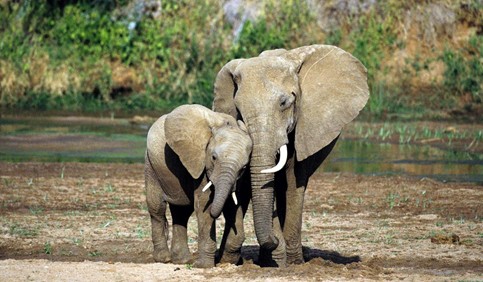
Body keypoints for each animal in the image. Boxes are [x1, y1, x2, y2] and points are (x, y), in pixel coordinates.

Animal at [146, 104, 253, 268]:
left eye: (244, 167)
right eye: (213, 157)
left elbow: (234, 205)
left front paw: (226, 261)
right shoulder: (200, 164)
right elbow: (204, 207)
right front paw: (204, 266)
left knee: (181, 212)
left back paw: (182, 261)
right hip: (151, 165)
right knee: (157, 208)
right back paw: (164, 259)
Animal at [214, 44, 368, 266]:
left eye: (284, 103)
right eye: (238, 110)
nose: (274, 239)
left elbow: (294, 181)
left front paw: (291, 263)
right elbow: (246, 183)